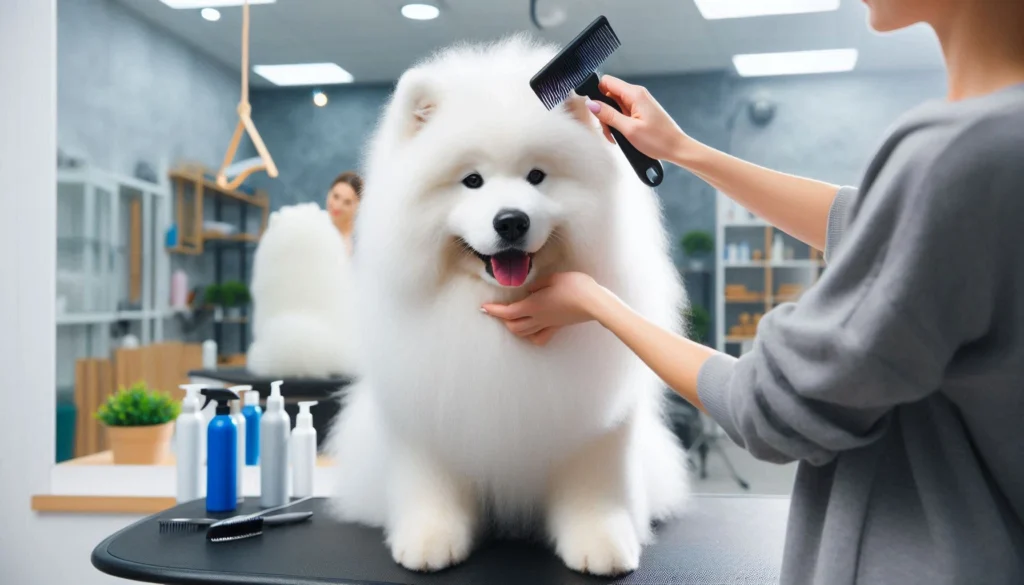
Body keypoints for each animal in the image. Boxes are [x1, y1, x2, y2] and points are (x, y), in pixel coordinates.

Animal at [327, 35, 688, 577]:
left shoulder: (595, 420)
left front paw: (600, 542)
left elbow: (596, 485)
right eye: (472, 181)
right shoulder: (424, 409)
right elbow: (430, 481)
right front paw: (430, 539)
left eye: (537, 176)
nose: (511, 221)